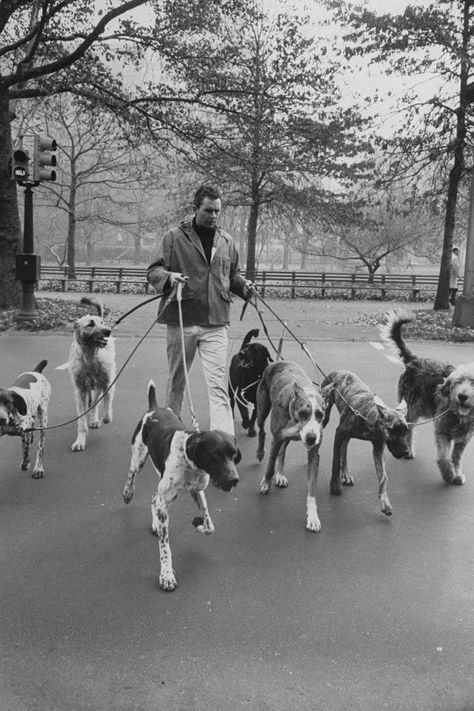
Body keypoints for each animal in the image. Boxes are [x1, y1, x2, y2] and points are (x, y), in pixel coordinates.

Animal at [67, 298, 115, 454]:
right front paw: (80, 440)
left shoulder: (107, 383)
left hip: (98, 386)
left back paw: (95, 419)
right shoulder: (81, 390)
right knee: (91, 402)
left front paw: (105, 417)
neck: (90, 358)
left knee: (95, 403)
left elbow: (106, 404)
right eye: (90, 324)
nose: (108, 331)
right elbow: (82, 420)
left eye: (101, 322)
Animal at [122, 382, 241, 592]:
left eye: (234, 455)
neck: (189, 461)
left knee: (153, 499)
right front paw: (166, 575)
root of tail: (156, 407)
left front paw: (198, 524)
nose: (235, 480)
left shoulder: (197, 492)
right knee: (132, 475)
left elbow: (210, 525)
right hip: (139, 457)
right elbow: (165, 548)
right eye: (216, 456)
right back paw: (128, 493)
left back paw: (155, 523)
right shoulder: (166, 500)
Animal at [258, 364, 328, 532]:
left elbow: (312, 489)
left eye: (320, 415)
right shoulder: (276, 439)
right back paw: (260, 452)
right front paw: (266, 483)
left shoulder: (313, 453)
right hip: (262, 410)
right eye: (303, 412)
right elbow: (270, 465)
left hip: (287, 437)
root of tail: (276, 363)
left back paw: (280, 474)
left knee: (283, 451)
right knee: (261, 430)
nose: (311, 437)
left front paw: (313, 517)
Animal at [322, 370, 412, 516]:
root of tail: (338, 372)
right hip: (325, 417)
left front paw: (385, 503)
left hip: (346, 435)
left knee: (344, 449)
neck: (368, 416)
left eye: (405, 430)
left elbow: (383, 477)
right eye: (393, 430)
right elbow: (335, 463)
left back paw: (346, 473)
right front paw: (335, 485)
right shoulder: (339, 434)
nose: (406, 452)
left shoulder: (378, 449)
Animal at [384, 308, 474, 486]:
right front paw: (448, 474)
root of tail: (414, 360)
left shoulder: (464, 438)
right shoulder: (442, 432)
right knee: (408, 428)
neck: (458, 415)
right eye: (459, 381)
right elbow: (444, 457)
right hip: (412, 406)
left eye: (473, 382)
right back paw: (408, 450)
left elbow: (456, 457)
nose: (462, 396)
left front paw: (457, 473)